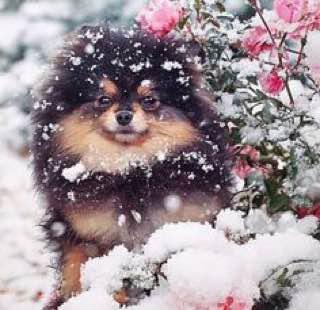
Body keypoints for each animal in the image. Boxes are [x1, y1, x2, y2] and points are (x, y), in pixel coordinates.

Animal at [32, 25, 231, 308]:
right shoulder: (82, 233)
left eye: (149, 100)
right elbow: (79, 272)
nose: (124, 115)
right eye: (103, 99)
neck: (130, 170)